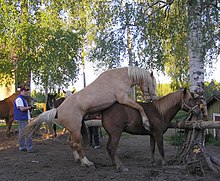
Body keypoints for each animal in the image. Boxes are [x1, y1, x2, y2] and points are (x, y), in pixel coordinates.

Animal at [21, 66, 156, 167]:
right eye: (153, 84)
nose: (152, 99)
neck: (119, 77)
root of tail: (58, 109)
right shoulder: (123, 99)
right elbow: (139, 107)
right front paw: (146, 123)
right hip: (76, 129)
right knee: (76, 144)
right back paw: (86, 162)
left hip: (73, 129)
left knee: (70, 142)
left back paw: (78, 159)